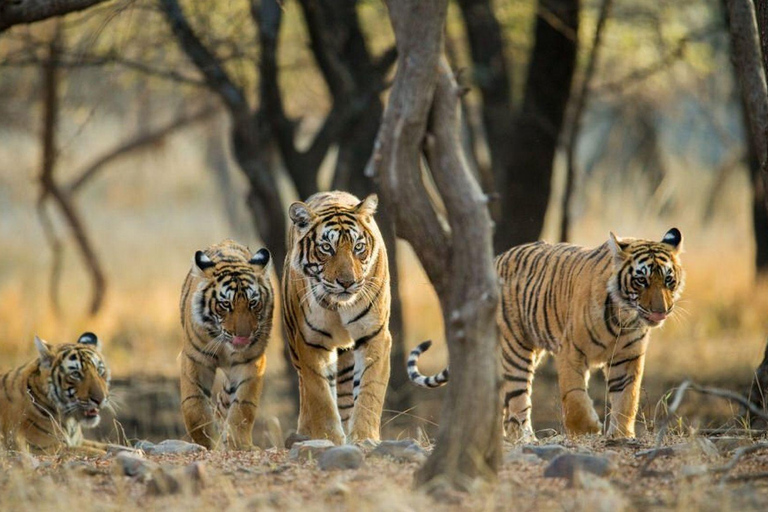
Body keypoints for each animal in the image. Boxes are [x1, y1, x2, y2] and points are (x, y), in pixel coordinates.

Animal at [179, 239, 272, 448]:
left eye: (253, 303)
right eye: (225, 304)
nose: (243, 336)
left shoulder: (251, 361)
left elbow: (243, 405)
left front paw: (238, 443)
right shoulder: (195, 359)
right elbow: (194, 406)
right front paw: (207, 442)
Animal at [280, 191, 390, 444]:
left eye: (358, 247)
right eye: (326, 248)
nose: (347, 282)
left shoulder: (374, 335)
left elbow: (370, 391)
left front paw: (364, 437)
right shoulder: (311, 342)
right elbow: (320, 396)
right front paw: (327, 437)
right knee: (305, 390)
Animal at [408, 228, 684, 440]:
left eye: (668, 280)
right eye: (641, 280)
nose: (661, 311)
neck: (623, 317)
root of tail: (496, 259)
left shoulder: (627, 358)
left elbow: (627, 398)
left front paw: (621, 435)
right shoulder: (571, 351)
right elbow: (574, 396)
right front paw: (587, 429)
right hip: (516, 349)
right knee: (518, 399)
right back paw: (525, 438)